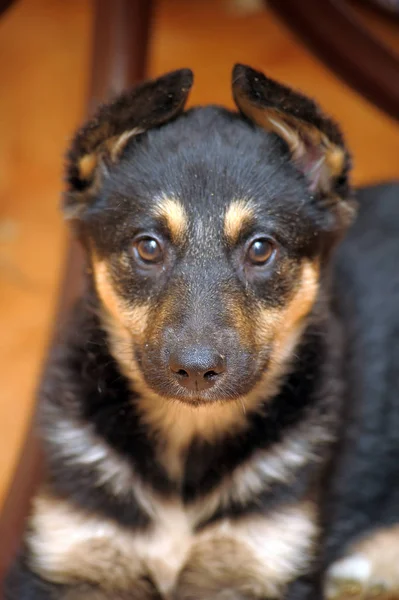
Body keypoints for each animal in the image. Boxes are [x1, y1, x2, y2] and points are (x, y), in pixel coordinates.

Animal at [5, 65, 356, 600]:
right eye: (148, 247)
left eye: (261, 249)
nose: (195, 370)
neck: (186, 438)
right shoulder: (68, 554)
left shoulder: (265, 560)